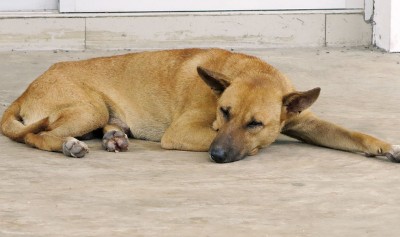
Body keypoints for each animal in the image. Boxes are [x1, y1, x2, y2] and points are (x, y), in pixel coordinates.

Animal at [0, 48, 400, 163]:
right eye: (224, 112)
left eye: (255, 123)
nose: (218, 156)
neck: (254, 71)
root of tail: (27, 88)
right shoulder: (183, 132)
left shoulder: (305, 121)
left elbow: (353, 134)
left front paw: (387, 147)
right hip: (89, 108)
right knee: (35, 136)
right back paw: (68, 145)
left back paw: (114, 137)